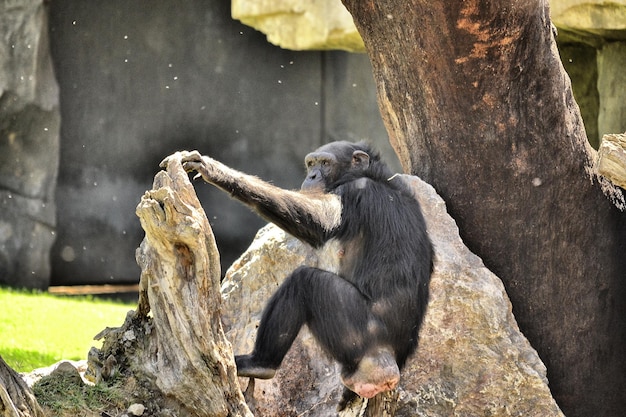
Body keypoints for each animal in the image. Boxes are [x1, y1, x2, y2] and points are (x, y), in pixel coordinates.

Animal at [180, 141, 432, 404]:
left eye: (325, 163)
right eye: (311, 163)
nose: (312, 176)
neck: (373, 177)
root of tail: (391, 361)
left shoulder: (353, 192)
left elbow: (320, 220)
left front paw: (214, 169)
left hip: (362, 333)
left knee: (304, 282)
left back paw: (260, 363)